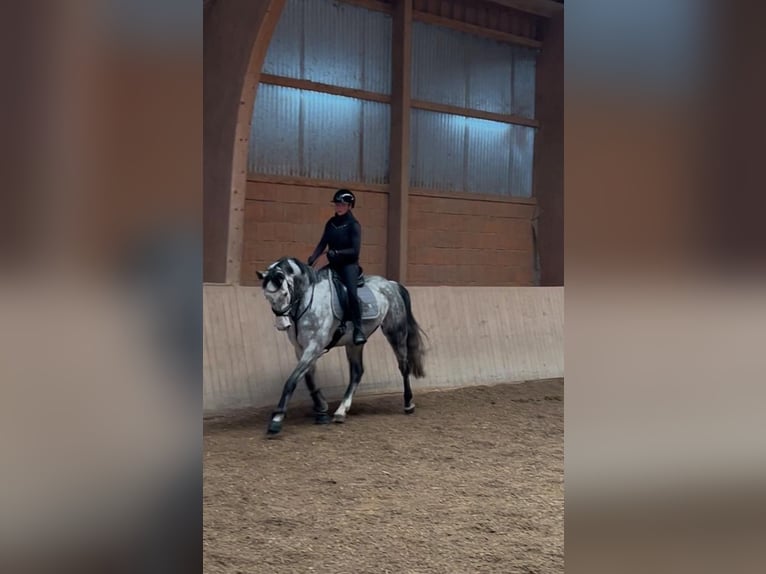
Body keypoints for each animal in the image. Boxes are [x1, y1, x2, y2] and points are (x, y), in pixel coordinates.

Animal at [256, 258, 426, 436]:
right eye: (267, 297)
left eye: (284, 294)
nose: (282, 325)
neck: (306, 301)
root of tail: (391, 284)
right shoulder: (301, 348)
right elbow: (308, 378)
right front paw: (321, 409)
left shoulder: (314, 346)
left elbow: (292, 380)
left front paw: (277, 419)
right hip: (354, 343)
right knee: (357, 372)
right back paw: (341, 411)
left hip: (395, 332)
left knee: (403, 367)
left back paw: (408, 404)